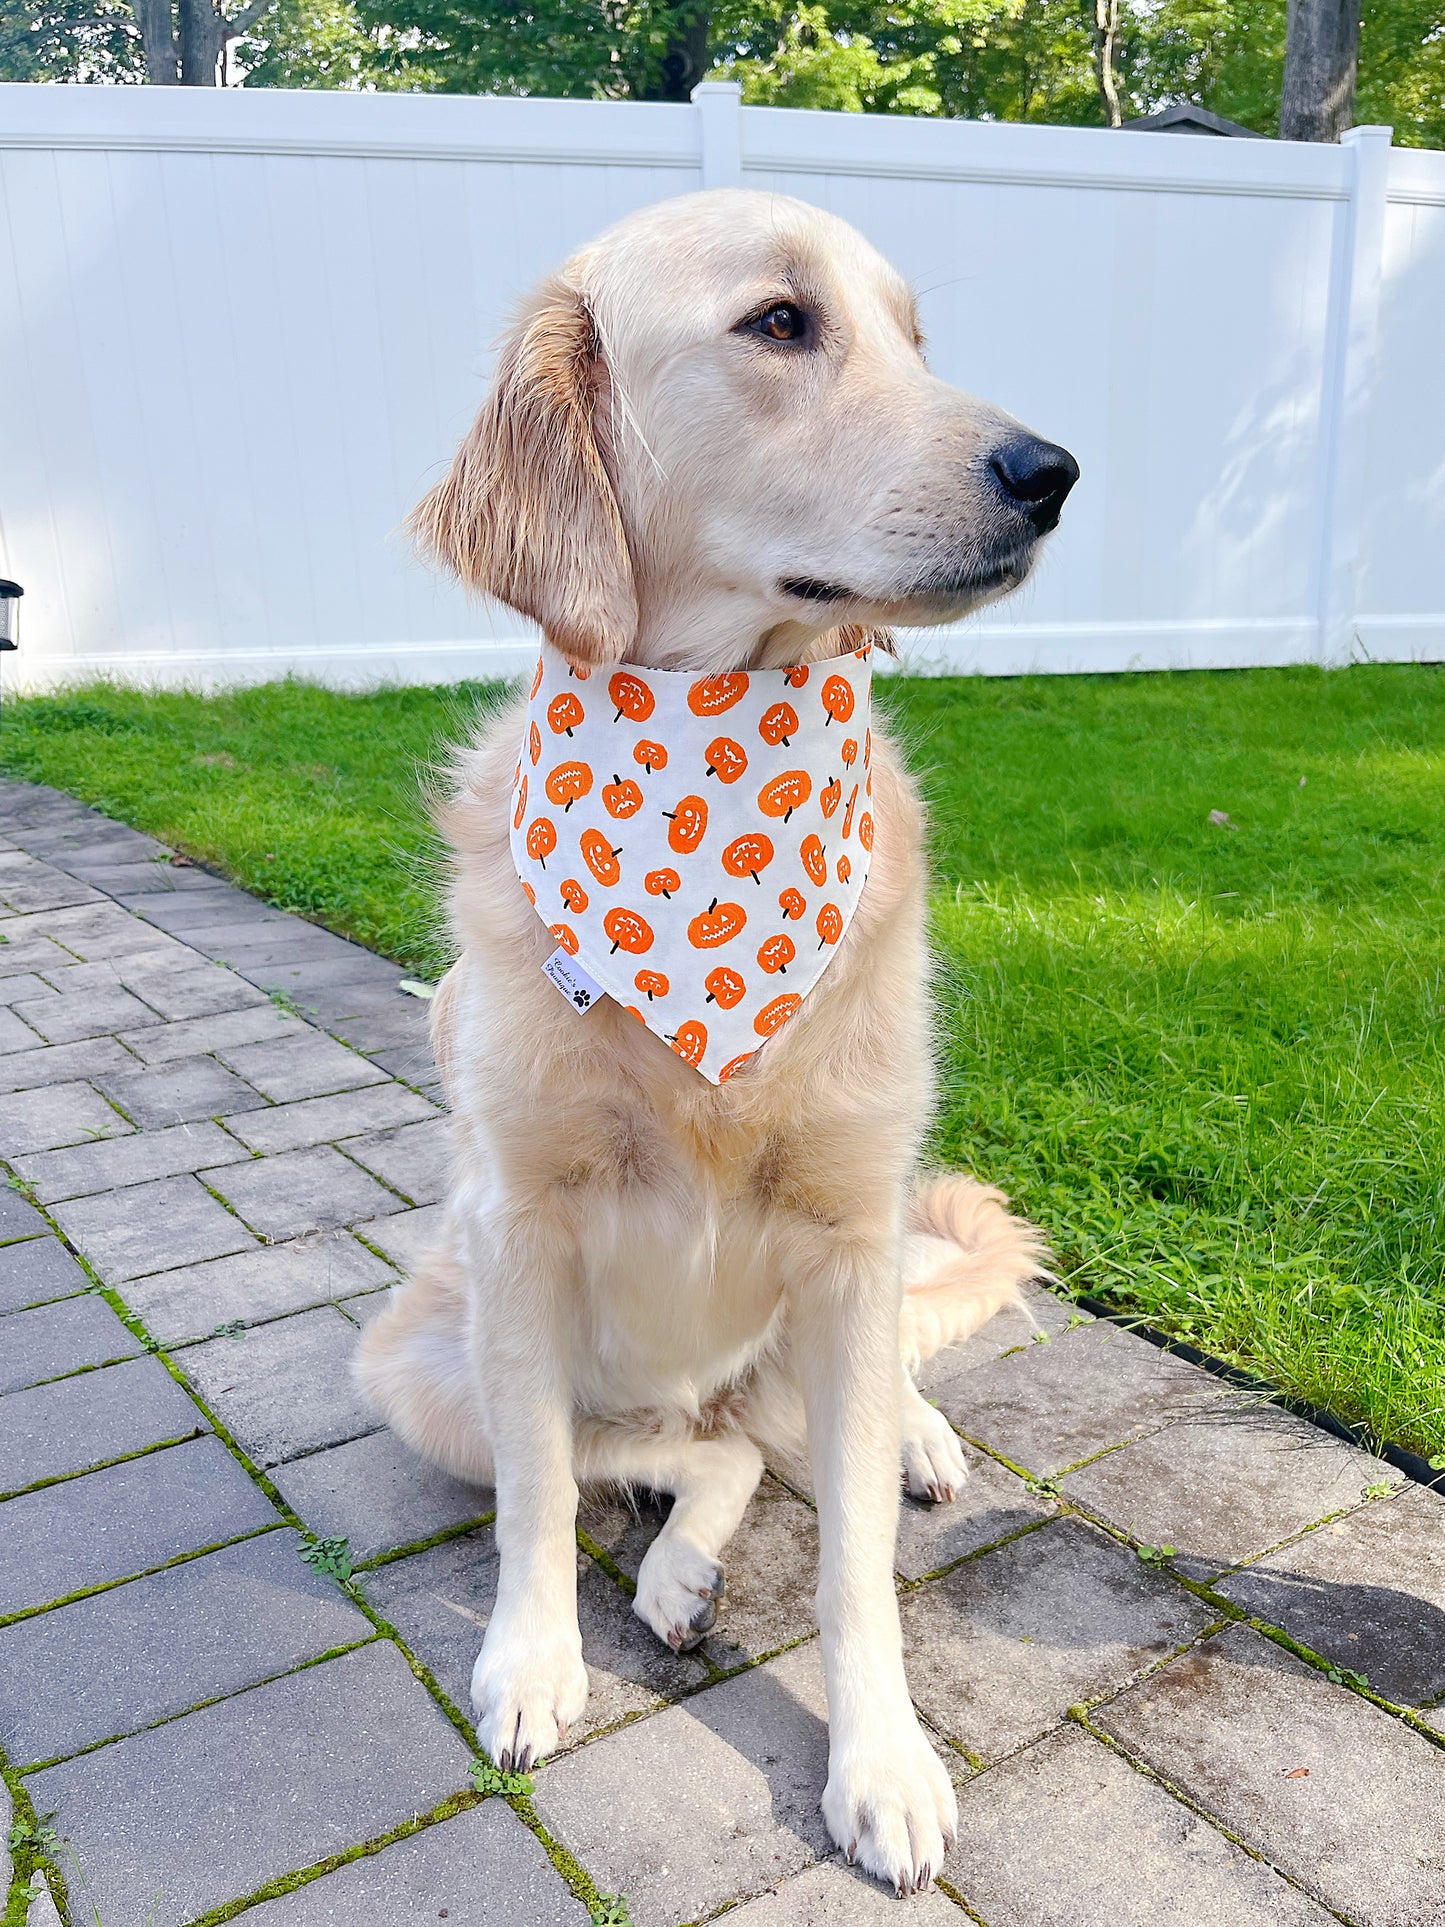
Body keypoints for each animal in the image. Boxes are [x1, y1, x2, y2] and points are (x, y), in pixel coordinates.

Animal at [358, 191, 1078, 1896]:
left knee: (804, 1424)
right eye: (779, 324)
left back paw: (908, 1440)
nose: (1051, 472)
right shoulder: (519, 1225)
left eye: (914, 337)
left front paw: (880, 1763)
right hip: (423, 1366)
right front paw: (532, 1662)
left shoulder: (848, 1225)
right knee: (671, 1454)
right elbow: (541, 1495)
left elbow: (856, 1571)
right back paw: (677, 1567)